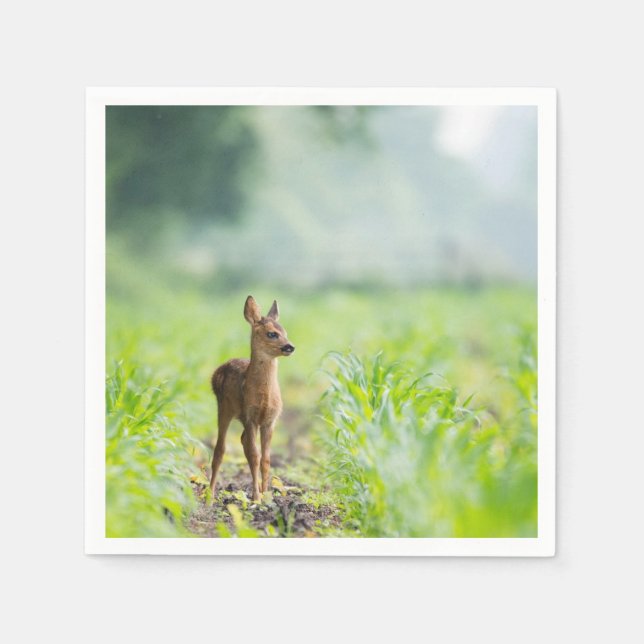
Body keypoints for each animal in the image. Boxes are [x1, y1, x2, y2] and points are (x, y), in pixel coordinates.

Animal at [209, 296, 295, 503]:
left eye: (285, 332)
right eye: (272, 334)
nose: (290, 346)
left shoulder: (270, 420)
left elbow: (266, 459)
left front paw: (266, 494)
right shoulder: (250, 417)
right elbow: (255, 456)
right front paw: (256, 497)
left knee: (243, 442)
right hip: (224, 408)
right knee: (220, 449)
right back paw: (210, 494)